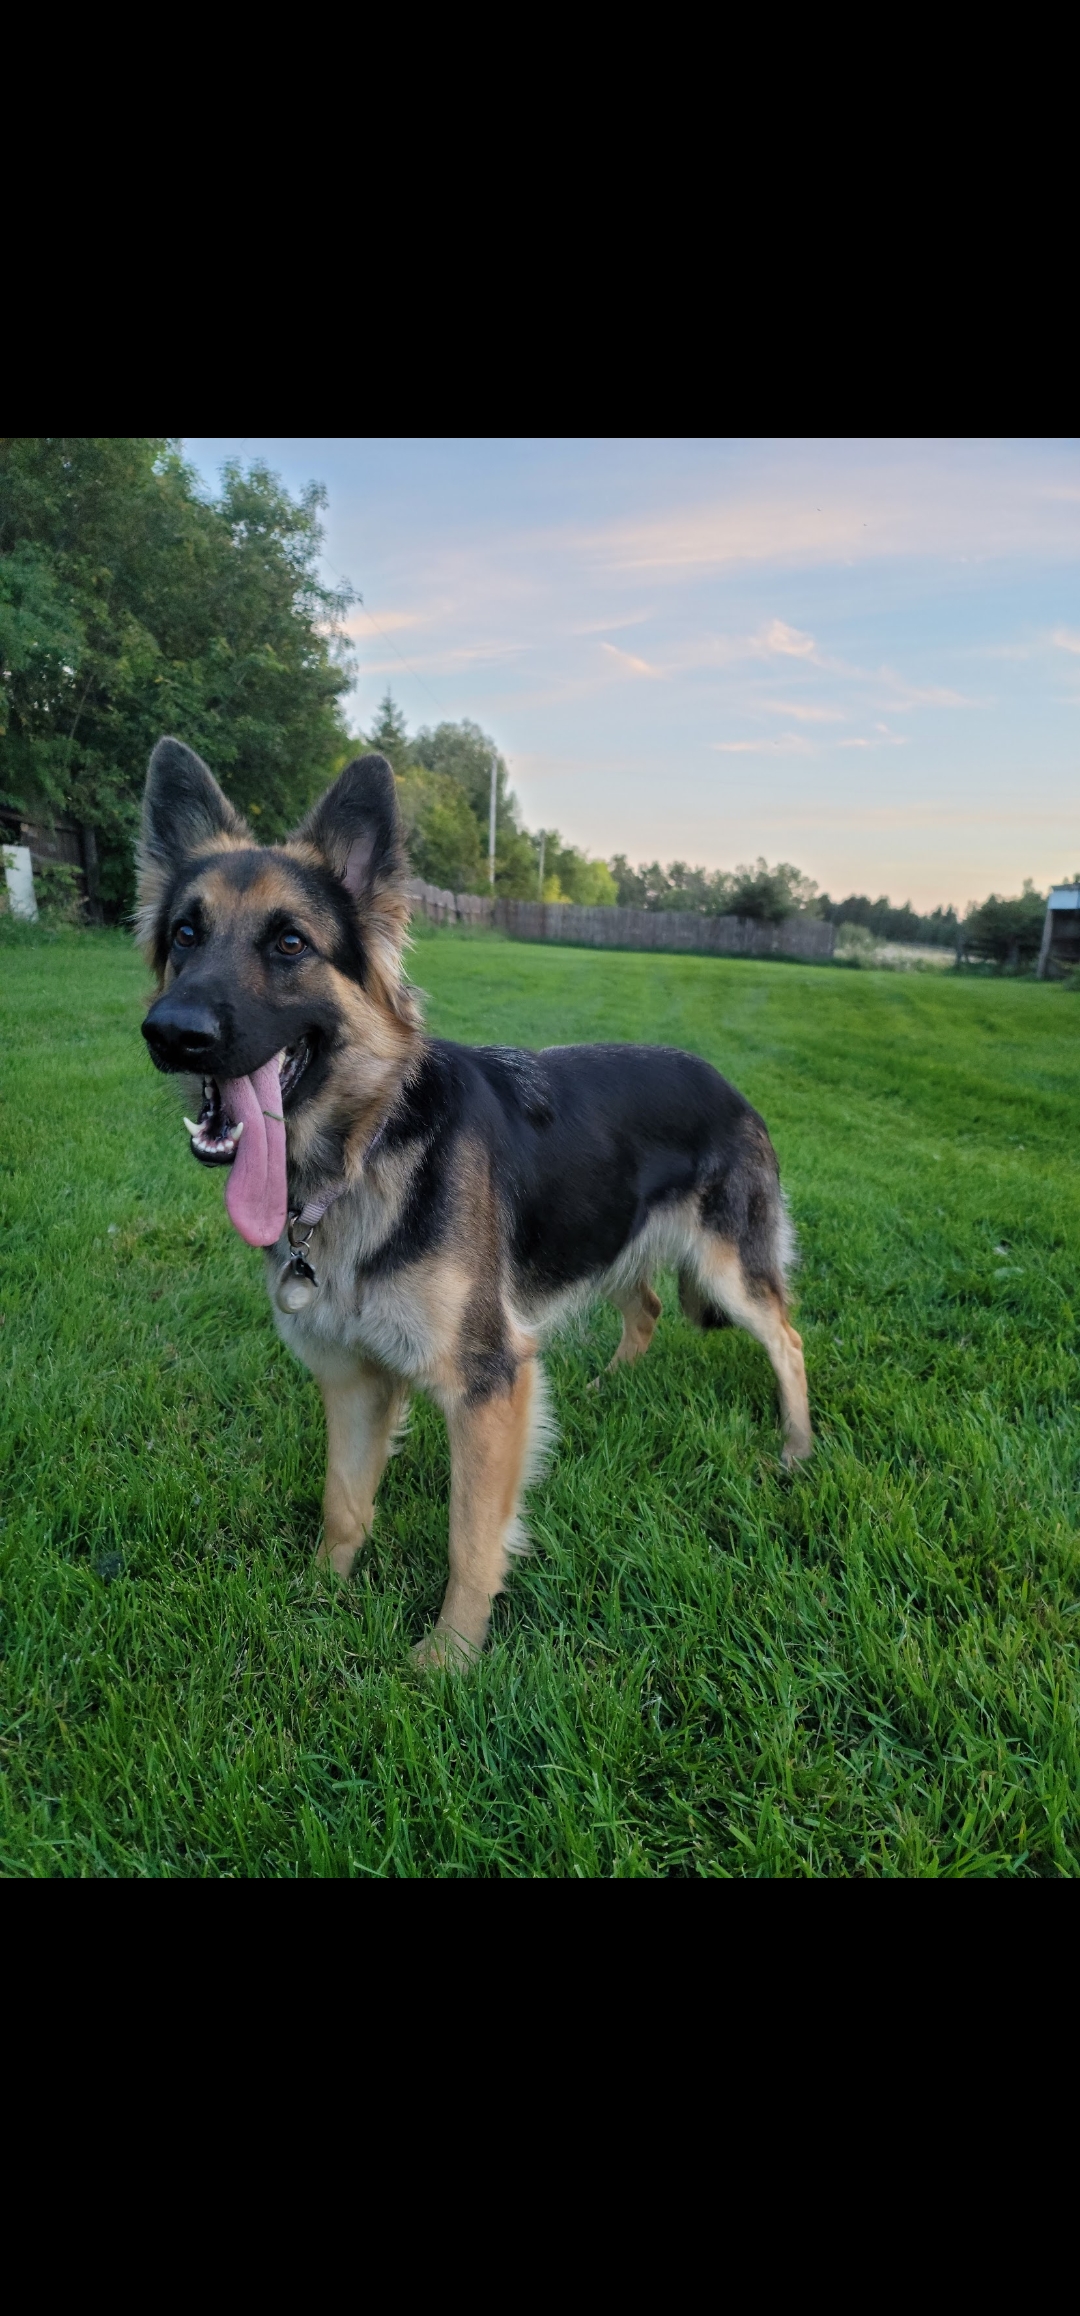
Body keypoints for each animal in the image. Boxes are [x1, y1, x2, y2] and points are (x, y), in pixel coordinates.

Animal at [138, 738, 812, 1663]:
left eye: (289, 942)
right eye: (185, 934)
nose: (171, 1033)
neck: (366, 1149)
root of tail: (730, 1085)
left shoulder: (488, 1382)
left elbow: (471, 1535)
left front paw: (447, 1661)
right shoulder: (353, 1378)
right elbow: (343, 1502)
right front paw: (319, 1597)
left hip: (726, 1270)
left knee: (787, 1338)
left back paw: (797, 1448)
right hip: (606, 1242)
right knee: (644, 1308)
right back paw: (610, 1387)